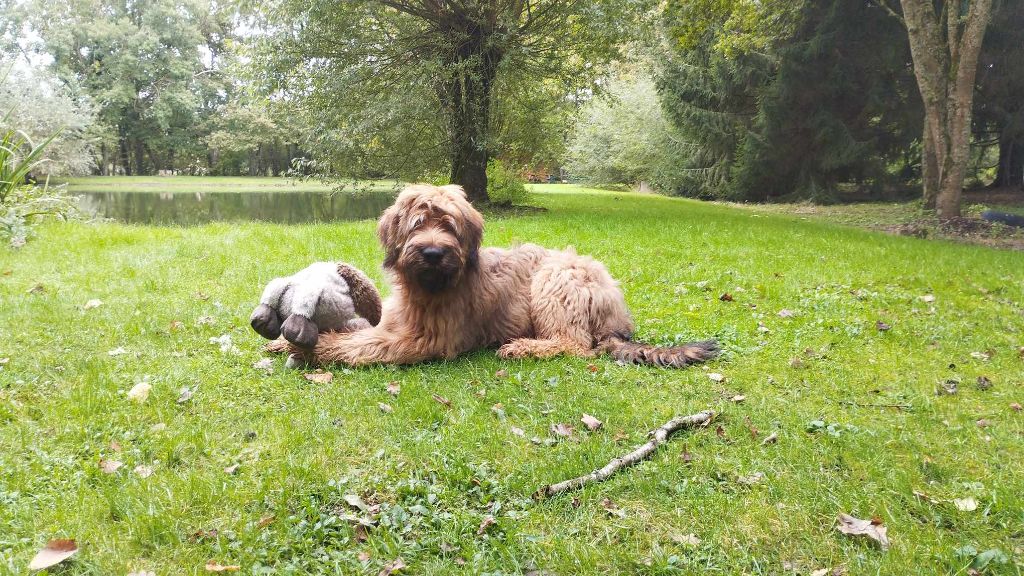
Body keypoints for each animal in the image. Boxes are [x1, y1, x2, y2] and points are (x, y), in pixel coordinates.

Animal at [276, 183, 716, 364]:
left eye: (449, 226)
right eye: (417, 224)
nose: (433, 253)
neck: (432, 287)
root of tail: (617, 315)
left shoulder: (423, 339)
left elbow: (363, 344)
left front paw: (310, 347)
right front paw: (287, 342)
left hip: (554, 281)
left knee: (574, 344)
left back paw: (522, 348)